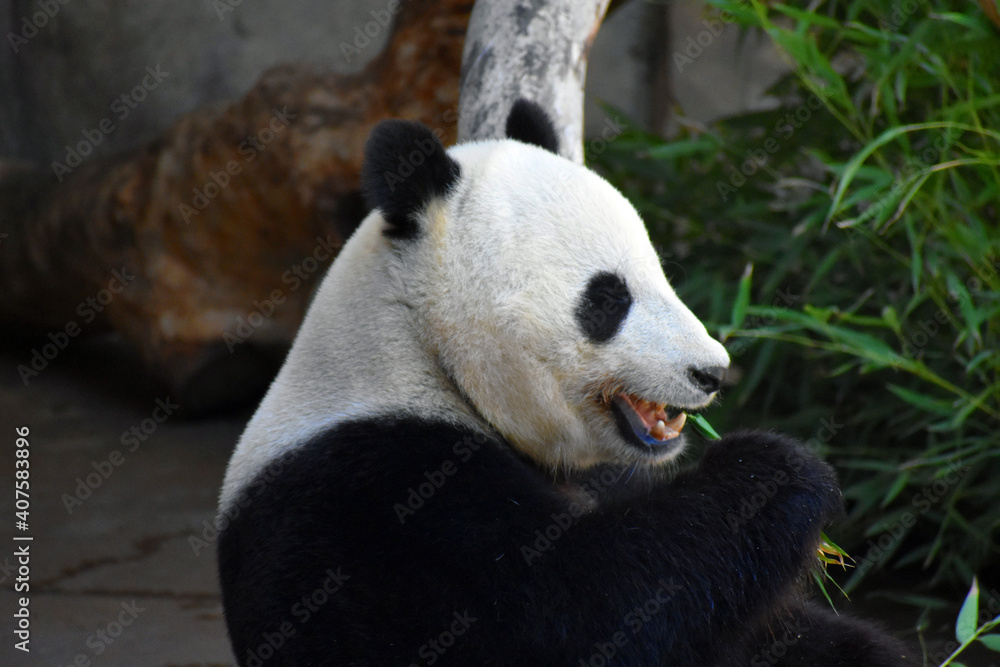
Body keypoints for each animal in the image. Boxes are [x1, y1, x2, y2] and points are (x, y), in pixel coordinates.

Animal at [217, 100, 918, 666]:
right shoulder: (377, 491)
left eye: (661, 273)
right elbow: (581, 610)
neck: (419, 353)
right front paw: (778, 471)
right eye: (608, 299)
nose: (711, 371)